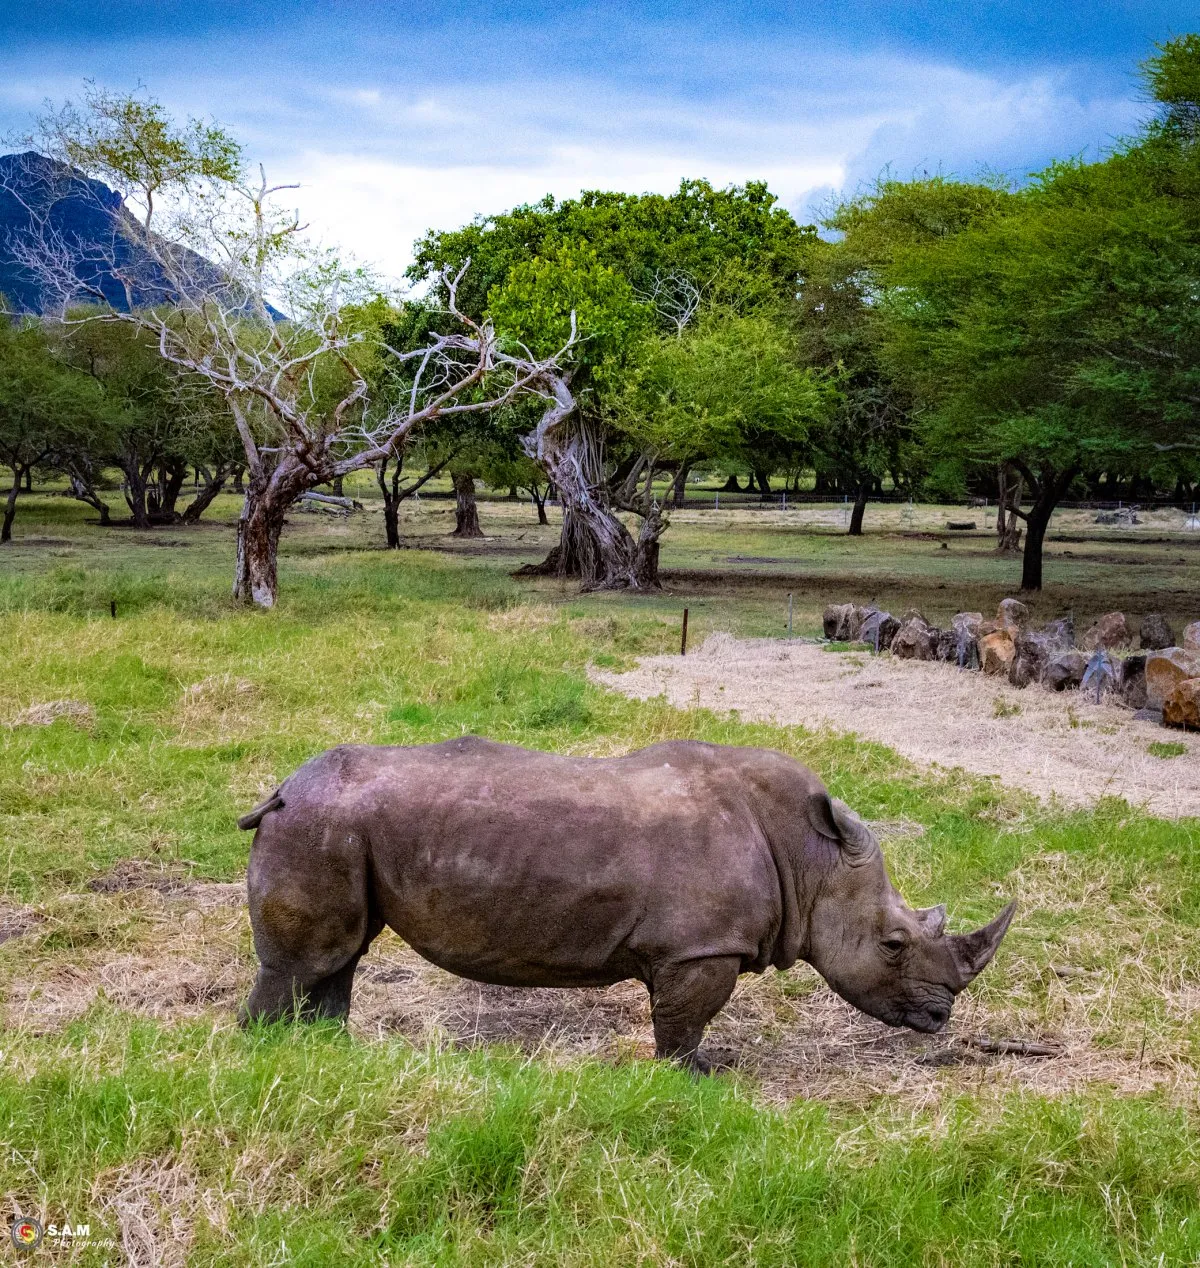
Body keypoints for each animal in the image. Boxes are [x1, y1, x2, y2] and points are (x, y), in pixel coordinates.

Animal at [238, 737, 1014, 1070]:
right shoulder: (701, 947)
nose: (940, 1018)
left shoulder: (694, 946)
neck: (811, 860)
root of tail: (281, 790)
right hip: (322, 825)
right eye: (893, 944)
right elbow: (684, 1022)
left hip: (339, 827)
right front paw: (693, 1079)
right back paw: (267, 1053)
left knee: (341, 955)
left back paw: (330, 1052)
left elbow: (678, 1018)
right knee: (308, 962)